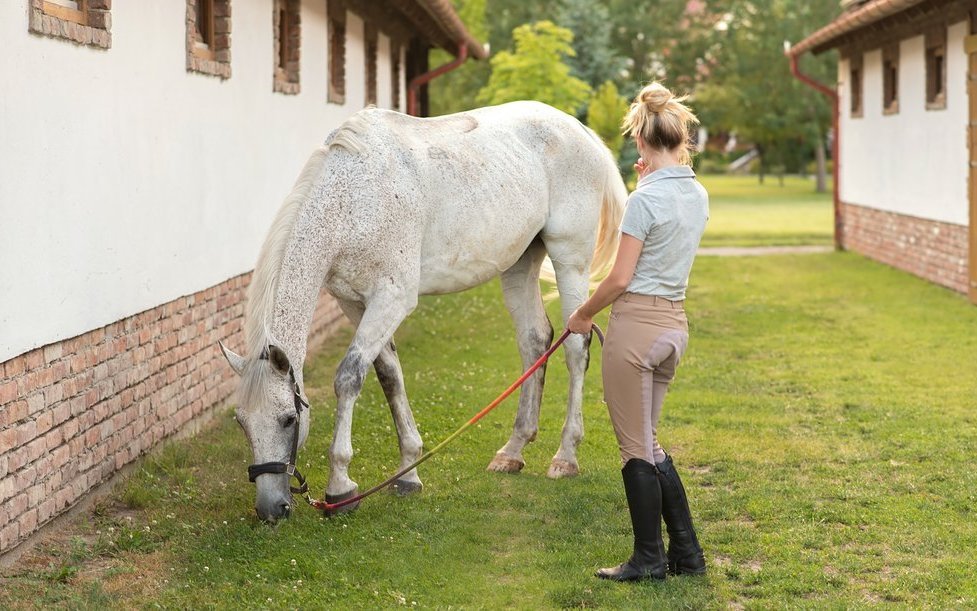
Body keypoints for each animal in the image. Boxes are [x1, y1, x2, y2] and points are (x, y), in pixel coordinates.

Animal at [219, 101, 627, 521]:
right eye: (242, 424)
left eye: (288, 420)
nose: (271, 508)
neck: (354, 197)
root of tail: (580, 131)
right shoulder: (355, 303)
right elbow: (388, 375)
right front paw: (408, 473)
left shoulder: (392, 298)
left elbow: (349, 377)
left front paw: (341, 486)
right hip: (519, 263)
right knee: (535, 340)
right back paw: (512, 451)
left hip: (570, 260)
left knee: (576, 347)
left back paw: (565, 456)